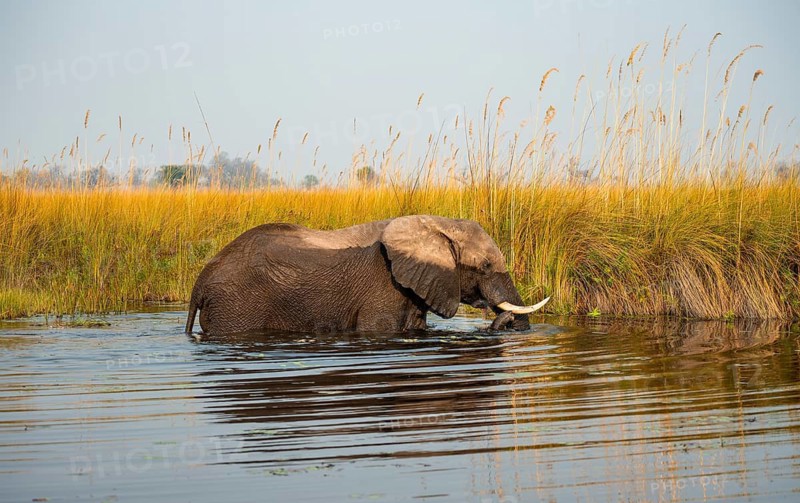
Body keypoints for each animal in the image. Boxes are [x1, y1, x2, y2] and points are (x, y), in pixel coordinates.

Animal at [184, 215, 549, 335]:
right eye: (485, 267)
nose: (503, 318)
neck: (436, 223)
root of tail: (199, 283)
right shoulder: (383, 291)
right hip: (236, 307)